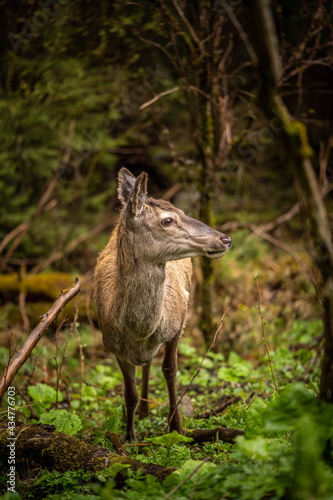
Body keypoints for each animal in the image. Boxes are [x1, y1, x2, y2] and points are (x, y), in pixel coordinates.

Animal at [93, 169, 231, 442]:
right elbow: (129, 393)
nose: (225, 239)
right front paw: (129, 436)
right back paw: (144, 410)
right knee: (145, 364)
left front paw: (176, 426)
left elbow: (169, 370)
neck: (137, 330)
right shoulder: (112, 346)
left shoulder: (179, 323)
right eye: (167, 221)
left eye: (182, 211)